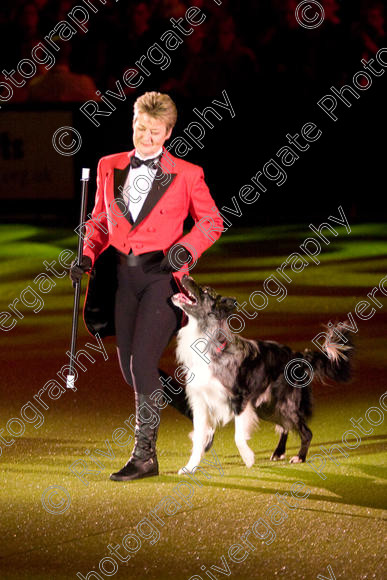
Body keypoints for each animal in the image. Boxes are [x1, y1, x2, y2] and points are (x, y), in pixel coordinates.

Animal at [173, 276, 354, 476]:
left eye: (205, 291)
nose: (185, 276)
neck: (207, 341)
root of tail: (298, 355)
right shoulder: (200, 404)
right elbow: (198, 439)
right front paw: (190, 467)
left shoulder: (240, 399)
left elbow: (238, 436)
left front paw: (248, 458)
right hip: (267, 407)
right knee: (285, 427)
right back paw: (279, 452)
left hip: (287, 404)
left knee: (306, 432)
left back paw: (300, 457)